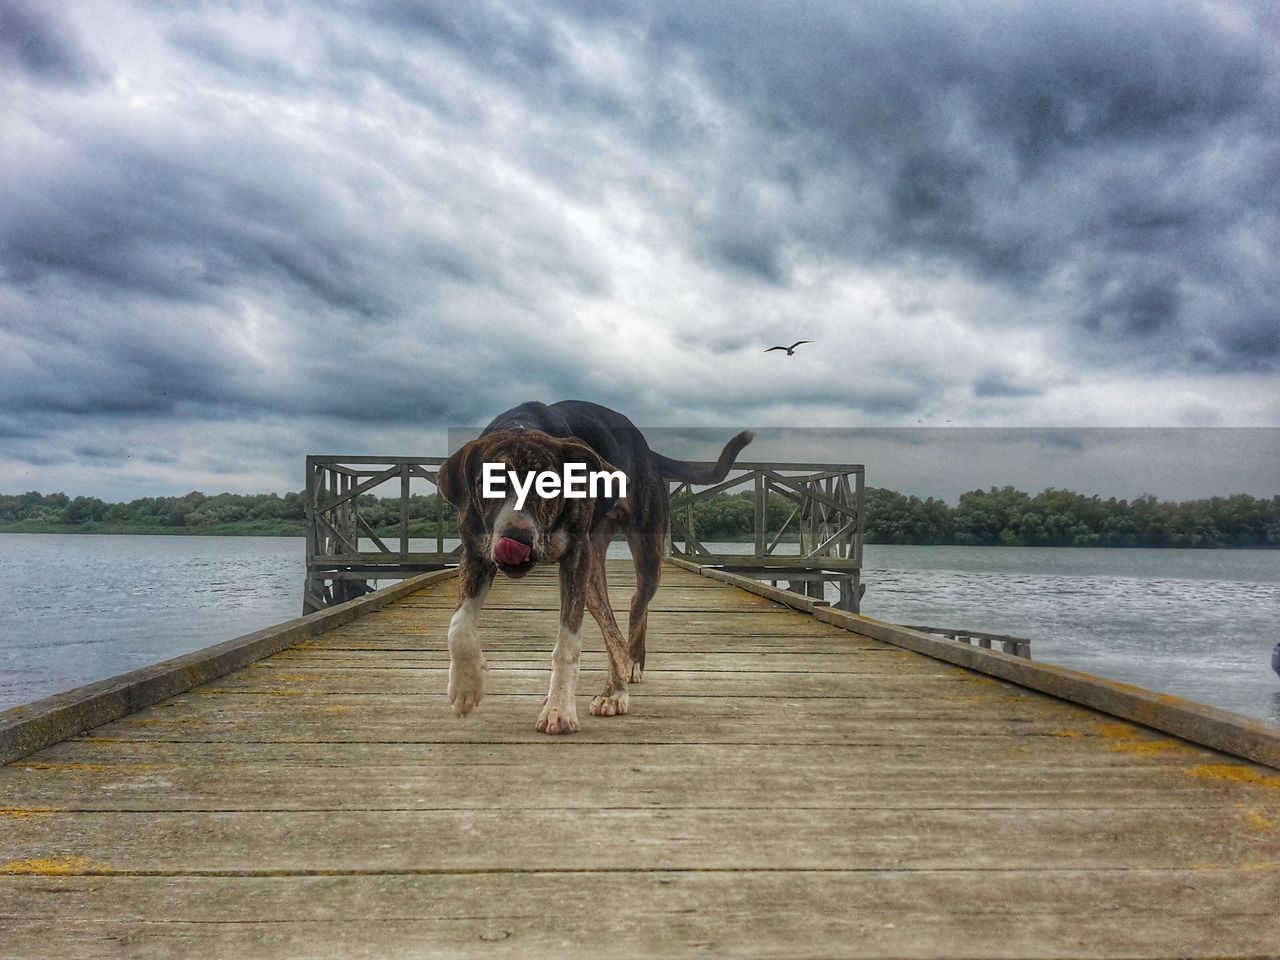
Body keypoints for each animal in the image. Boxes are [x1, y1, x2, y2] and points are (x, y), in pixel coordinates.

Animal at [437, 399, 747, 737]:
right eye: (491, 483)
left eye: (548, 485)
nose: (516, 538)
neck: (522, 425)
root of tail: (648, 451)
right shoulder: (476, 552)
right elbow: (458, 626)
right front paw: (466, 687)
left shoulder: (576, 556)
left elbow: (567, 644)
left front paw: (559, 709)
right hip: (593, 576)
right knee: (612, 630)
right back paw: (613, 688)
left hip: (644, 550)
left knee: (635, 608)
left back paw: (621, 683)